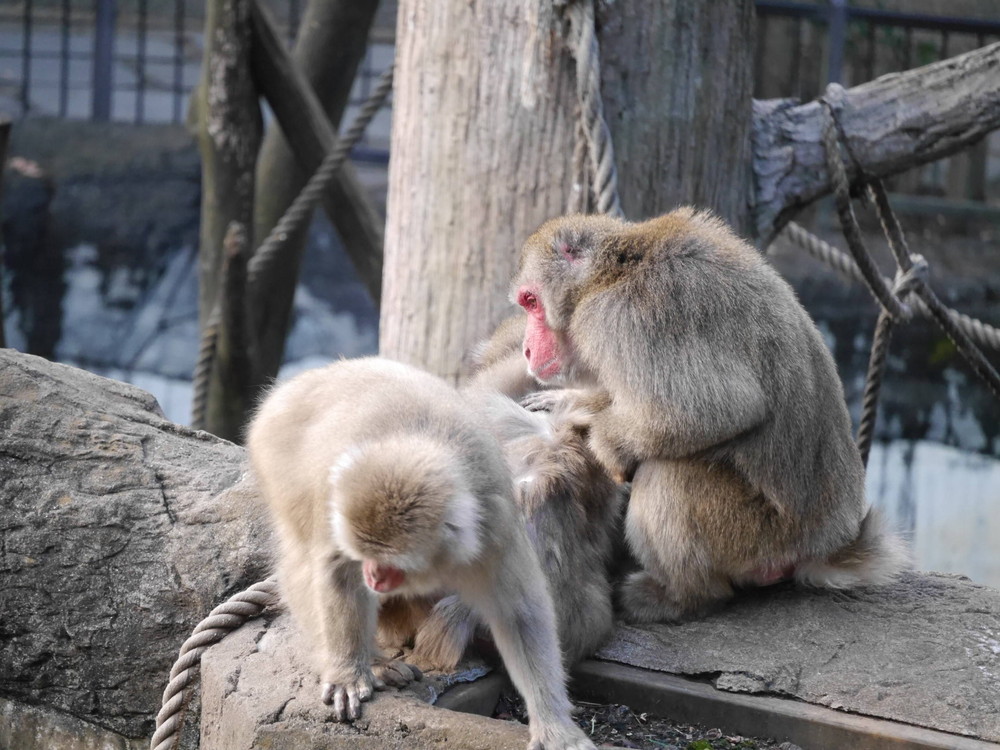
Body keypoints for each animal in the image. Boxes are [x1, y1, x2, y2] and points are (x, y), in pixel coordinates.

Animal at [247, 358, 596, 750]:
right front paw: (349, 670)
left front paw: (555, 726)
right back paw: (371, 660)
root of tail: (304, 380)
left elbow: (520, 613)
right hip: (275, 452)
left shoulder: (494, 524)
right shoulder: (338, 508)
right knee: (303, 558)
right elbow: (337, 575)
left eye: (388, 563)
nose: (373, 576)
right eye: (366, 557)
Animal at [512, 209, 912, 624]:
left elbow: (712, 410)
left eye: (531, 302)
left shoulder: (619, 318)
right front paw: (572, 402)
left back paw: (684, 597)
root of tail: (829, 544)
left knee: (670, 475)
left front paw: (601, 439)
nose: (526, 349)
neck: (612, 272)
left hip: (758, 536)